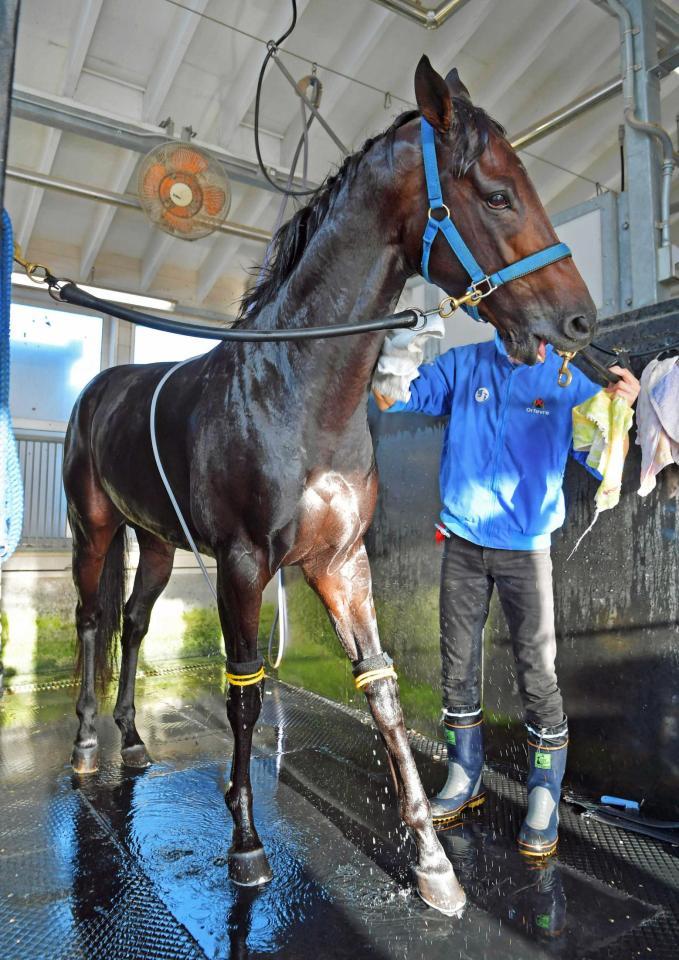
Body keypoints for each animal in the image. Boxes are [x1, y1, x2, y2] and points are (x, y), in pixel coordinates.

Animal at [63, 56, 596, 920]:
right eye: (496, 194)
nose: (579, 322)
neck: (296, 389)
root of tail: (98, 390)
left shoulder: (341, 564)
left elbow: (380, 692)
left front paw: (433, 866)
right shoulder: (244, 565)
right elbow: (244, 694)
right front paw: (245, 846)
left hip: (156, 543)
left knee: (134, 624)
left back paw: (134, 743)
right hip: (95, 530)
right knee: (88, 622)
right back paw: (83, 747)